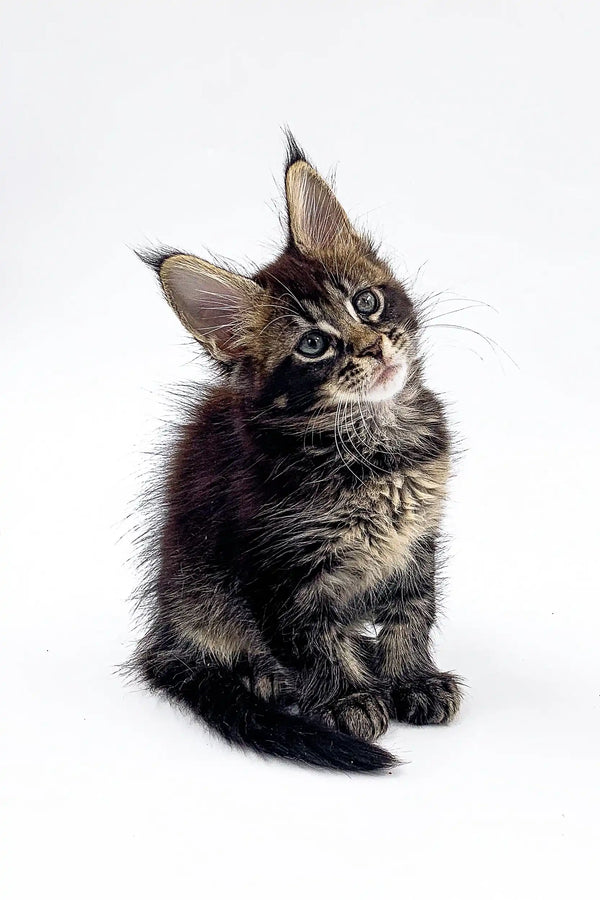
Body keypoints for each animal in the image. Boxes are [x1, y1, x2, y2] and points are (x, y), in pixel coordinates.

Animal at [132, 137, 460, 768]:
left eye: (367, 302)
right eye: (313, 344)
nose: (375, 346)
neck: (378, 448)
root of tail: (163, 638)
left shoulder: (415, 544)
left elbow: (412, 612)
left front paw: (411, 678)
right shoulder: (276, 570)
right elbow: (312, 641)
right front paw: (348, 698)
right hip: (201, 597)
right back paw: (261, 677)